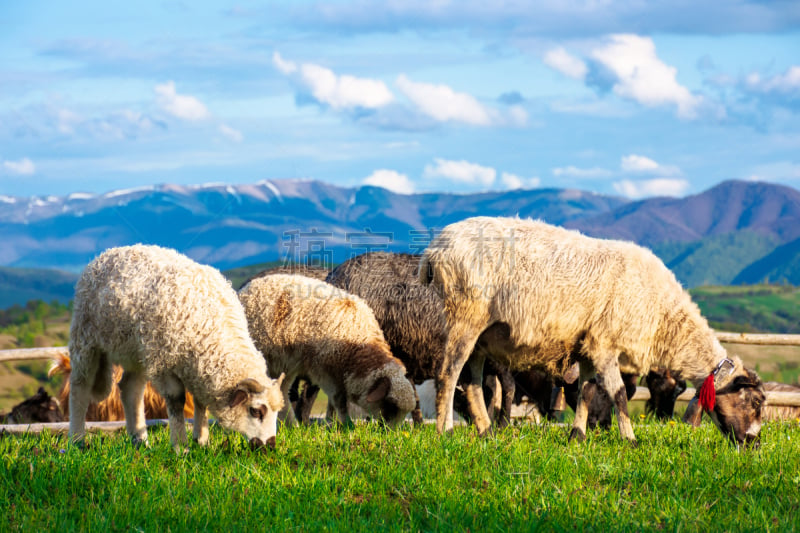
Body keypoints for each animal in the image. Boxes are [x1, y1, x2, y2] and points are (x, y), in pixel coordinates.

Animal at [69, 244, 286, 448]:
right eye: (256, 411)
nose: (270, 445)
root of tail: (107, 253)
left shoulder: (198, 366)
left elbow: (200, 401)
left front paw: (202, 440)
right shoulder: (164, 362)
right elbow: (176, 401)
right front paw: (181, 446)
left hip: (138, 351)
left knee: (131, 389)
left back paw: (140, 441)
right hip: (85, 338)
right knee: (80, 387)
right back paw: (77, 440)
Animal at [238, 272, 416, 426]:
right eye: (390, 405)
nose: (389, 432)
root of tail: (247, 288)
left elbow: (333, 403)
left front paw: (333, 423)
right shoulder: (324, 370)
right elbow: (339, 400)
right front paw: (347, 424)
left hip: (282, 365)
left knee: (280, 391)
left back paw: (291, 425)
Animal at [418, 216, 764, 444]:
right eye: (757, 403)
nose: (754, 444)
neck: (664, 317)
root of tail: (435, 248)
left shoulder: (586, 346)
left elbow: (585, 390)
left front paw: (578, 436)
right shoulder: (605, 344)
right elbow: (619, 393)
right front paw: (630, 440)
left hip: (482, 335)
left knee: (473, 382)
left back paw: (486, 432)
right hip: (464, 317)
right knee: (448, 373)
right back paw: (444, 432)